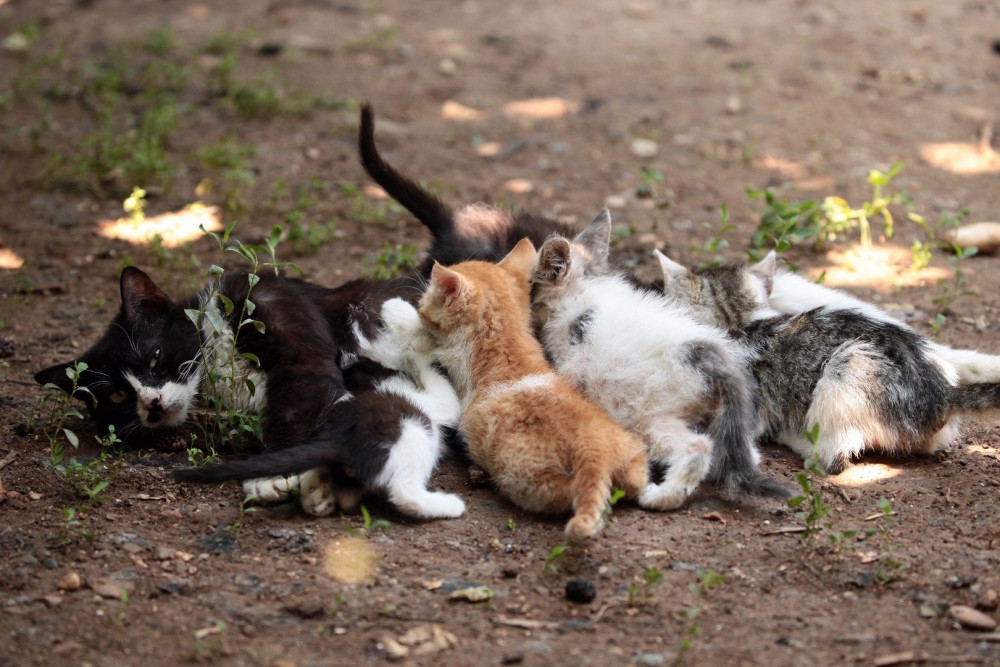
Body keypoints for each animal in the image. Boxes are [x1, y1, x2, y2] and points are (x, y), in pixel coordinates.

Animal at [416, 237, 644, 540]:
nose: (418, 304)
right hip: (635, 458)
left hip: (524, 479)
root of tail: (593, 449)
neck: (505, 346)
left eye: (424, 300)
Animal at [532, 211, 788, 508]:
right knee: (742, 452)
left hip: (651, 413)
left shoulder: (574, 362)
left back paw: (659, 496)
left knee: (698, 447)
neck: (585, 287)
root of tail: (712, 357)